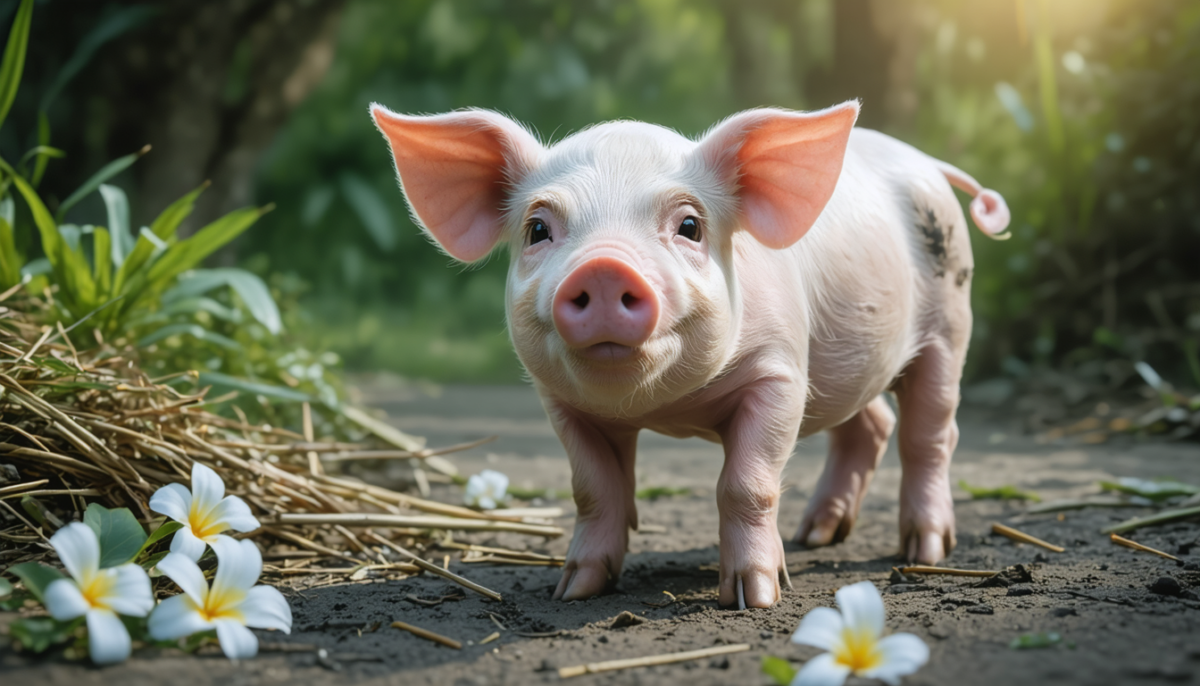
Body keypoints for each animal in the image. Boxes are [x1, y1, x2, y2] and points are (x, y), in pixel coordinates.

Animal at [370, 100, 1010, 609]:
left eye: (690, 225)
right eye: (537, 230)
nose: (604, 267)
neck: (666, 409)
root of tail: (925, 161)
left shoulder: (780, 374)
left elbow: (746, 483)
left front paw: (756, 596)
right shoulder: (561, 403)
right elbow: (593, 487)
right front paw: (573, 590)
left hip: (950, 324)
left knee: (930, 433)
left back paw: (925, 548)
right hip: (847, 363)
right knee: (868, 425)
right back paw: (815, 536)